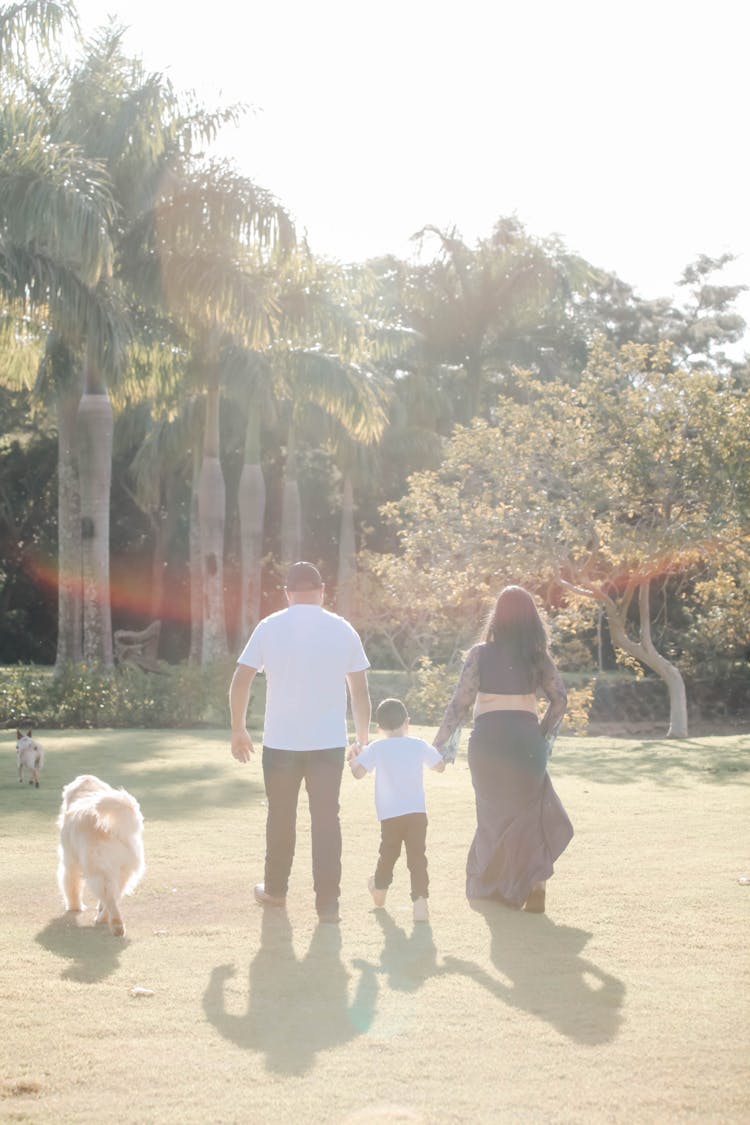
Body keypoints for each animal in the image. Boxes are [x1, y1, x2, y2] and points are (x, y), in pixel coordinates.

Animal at [57, 774, 145, 940]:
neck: (86, 793)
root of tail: (111, 829)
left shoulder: (70, 863)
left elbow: (71, 886)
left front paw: (74, 907)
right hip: (124, 872)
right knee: (115, 895)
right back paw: (104, 918)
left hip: (98, 871)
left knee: (110, 898)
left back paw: (115, 924)